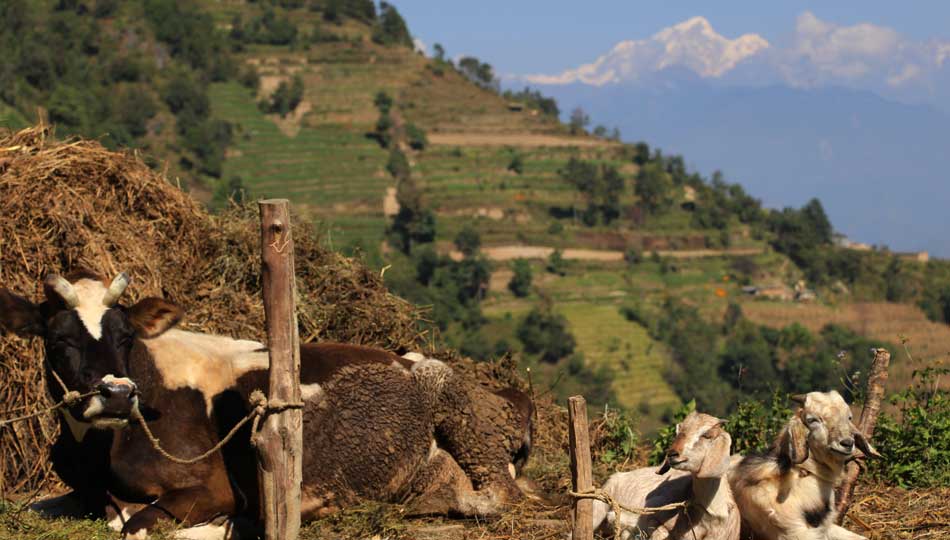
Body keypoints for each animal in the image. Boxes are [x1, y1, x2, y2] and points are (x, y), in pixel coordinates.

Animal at [0, 272, 528, 536]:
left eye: (126, 336)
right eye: (58, 339)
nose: (116, 394)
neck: (101, 454)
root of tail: (406, 355)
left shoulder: (214, 490)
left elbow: (138, 528)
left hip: (455, 403)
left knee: (497, 494)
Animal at [588, 412, 744, 536]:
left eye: (706, 435)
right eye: (678, 433)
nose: (672, 454)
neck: (713, 516)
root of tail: (618, 476)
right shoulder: (655, 523)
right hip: (598, 507)